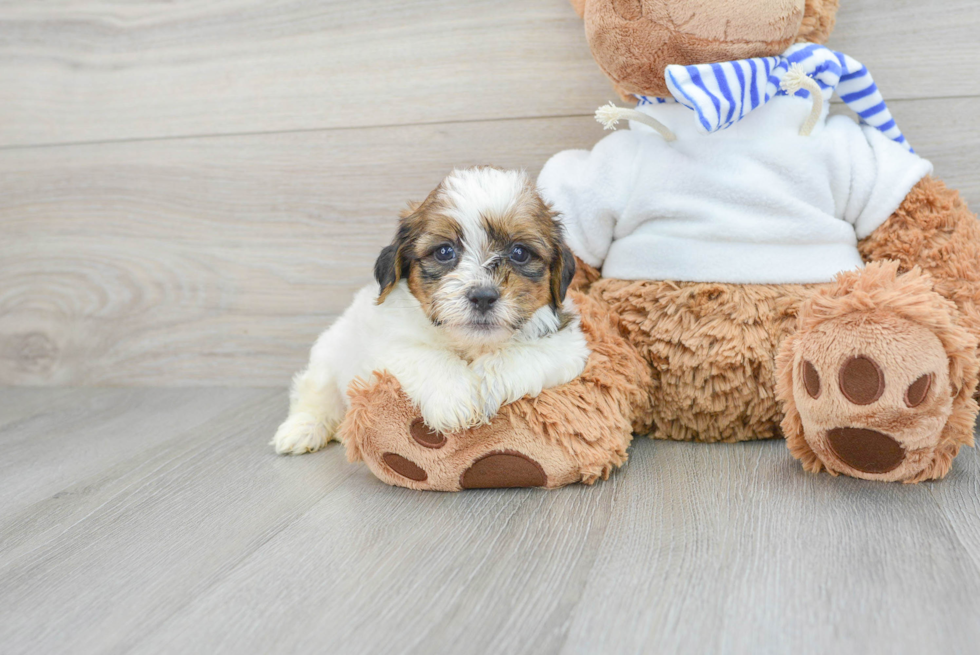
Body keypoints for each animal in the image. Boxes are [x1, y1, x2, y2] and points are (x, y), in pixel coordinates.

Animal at [272, 168, 584, 456]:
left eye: (519, 253)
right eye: (444, 251)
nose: (483, 297)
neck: (470, 344)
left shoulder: (568, 343)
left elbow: (523, 354)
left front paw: (486, 384)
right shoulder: (388, 343)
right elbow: (427, 356)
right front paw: (456, 398)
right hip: (329, 356)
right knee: (315, 394)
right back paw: (302, 429)